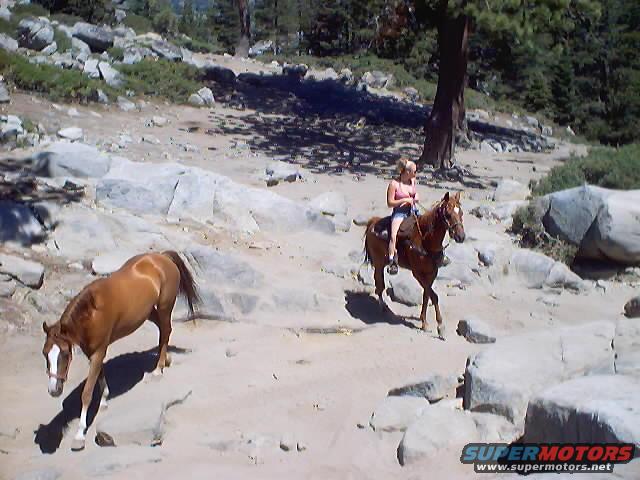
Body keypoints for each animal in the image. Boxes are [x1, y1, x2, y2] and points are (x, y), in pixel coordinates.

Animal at [41, 250, 200, 451]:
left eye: (64, 353)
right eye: (45, 353)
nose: (54, 390)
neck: (92, 312)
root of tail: (162, 256)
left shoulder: (98, 352)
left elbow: (86, 393)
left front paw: (79, 436)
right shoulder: (93, 352)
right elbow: (99, 377)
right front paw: (104, 400)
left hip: (165, 306)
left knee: (165, 331)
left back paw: (158, 369)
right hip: (148, 312)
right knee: (165, 330)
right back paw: (166, 360)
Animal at [363, 192, 466, 338]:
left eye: (461, 212)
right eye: (448, 214)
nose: (461, 237)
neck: (425, 240)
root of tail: (373, 222)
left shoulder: (432, 272)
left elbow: (427, 295)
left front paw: (424, 322)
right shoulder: (417, 272)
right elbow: (434, 296)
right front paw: (440, 326)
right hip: (378, 263)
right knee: (379, 285)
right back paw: (382, 307)